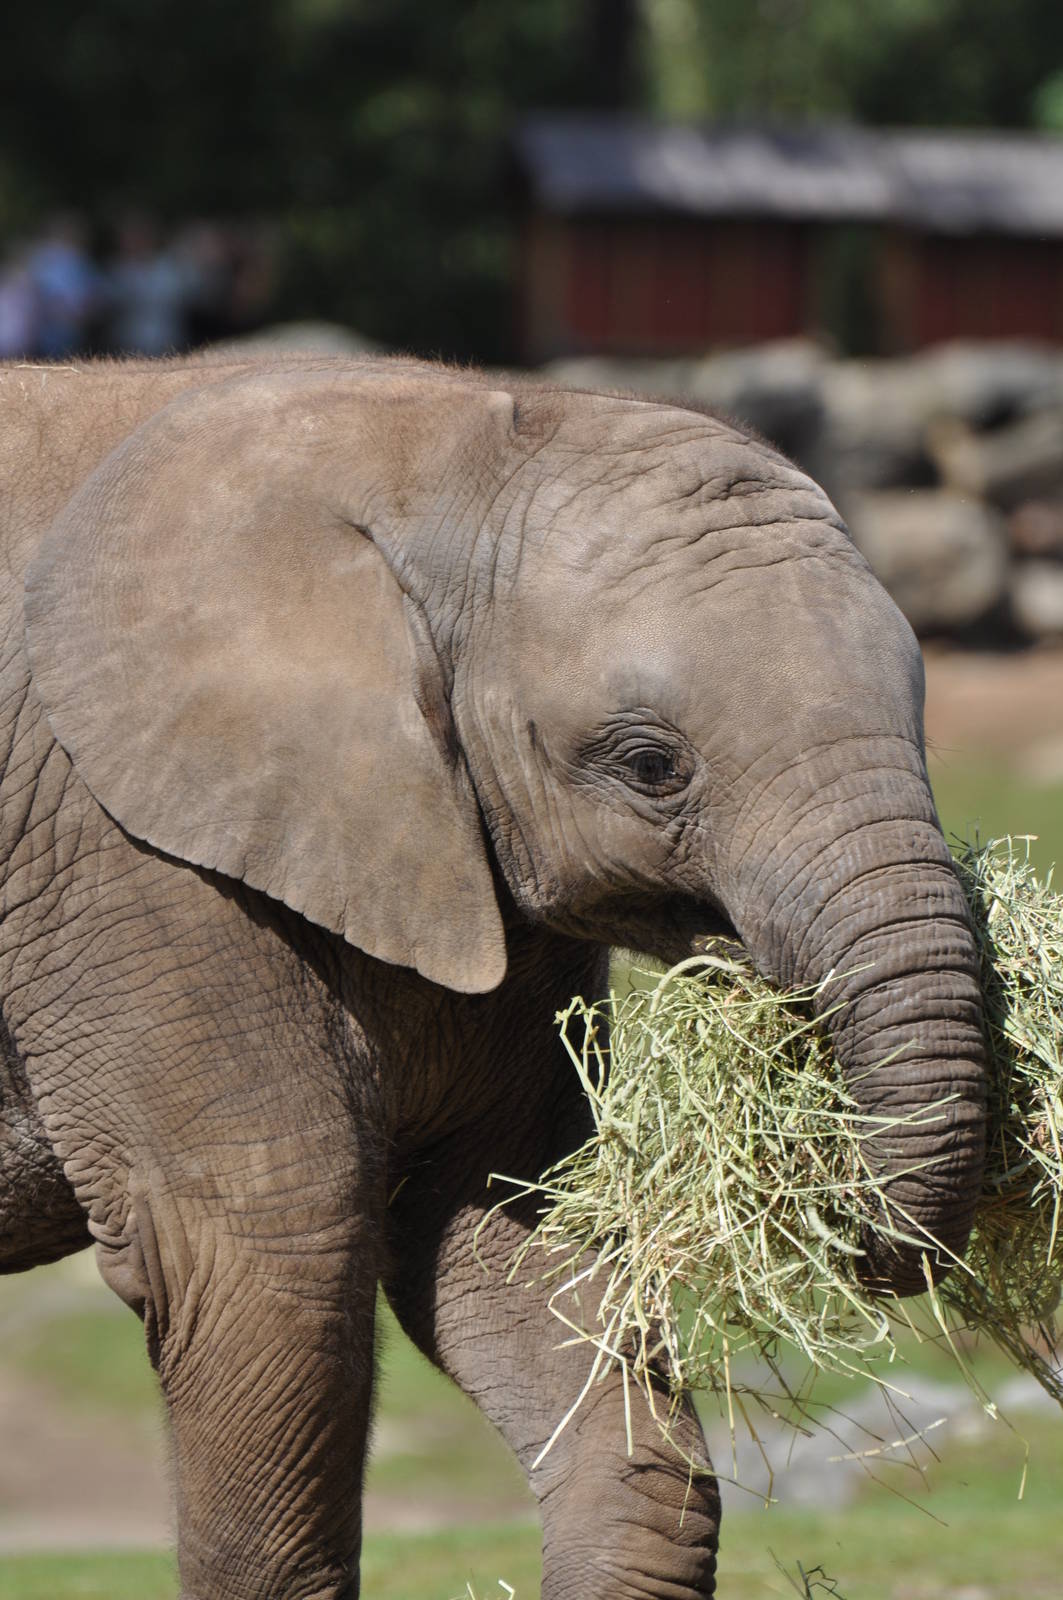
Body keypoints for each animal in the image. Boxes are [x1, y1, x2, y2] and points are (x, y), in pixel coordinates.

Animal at [0, 351, 987, 1599]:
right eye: (649, 765)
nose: (855, 1234)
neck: (427, 440)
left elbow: (505, 1224)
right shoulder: (129, 860)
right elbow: (263, 1249)